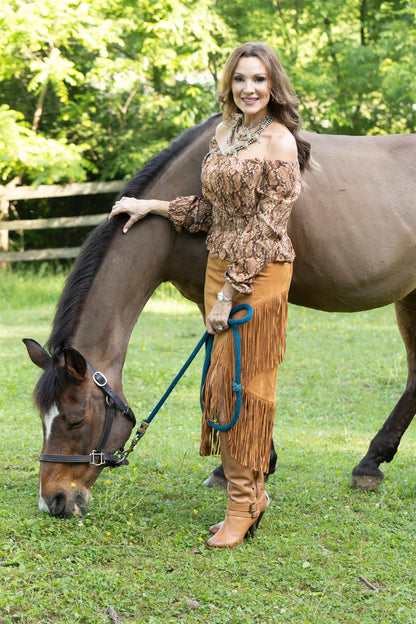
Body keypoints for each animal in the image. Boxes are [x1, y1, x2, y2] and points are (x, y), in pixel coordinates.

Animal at [24, 116, 414, 516]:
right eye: (42, 418)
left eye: (75, 420)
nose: (53, 500)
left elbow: (232, 374)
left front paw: (244, 465)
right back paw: (370, 465)